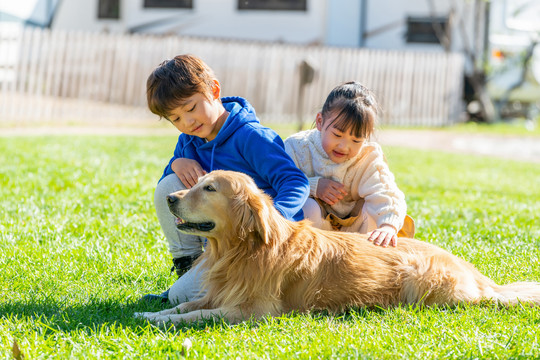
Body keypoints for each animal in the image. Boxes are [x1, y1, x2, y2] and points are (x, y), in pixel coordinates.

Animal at [138, 170, 540, 324]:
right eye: (197, 183)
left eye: (209, 188)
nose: (171, 198)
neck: (241, 250)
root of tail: (481, 279)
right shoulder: (217, 293)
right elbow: (187, 305)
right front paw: (151, 314)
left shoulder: (252, 310)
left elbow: (196, 315)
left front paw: (159, 321)